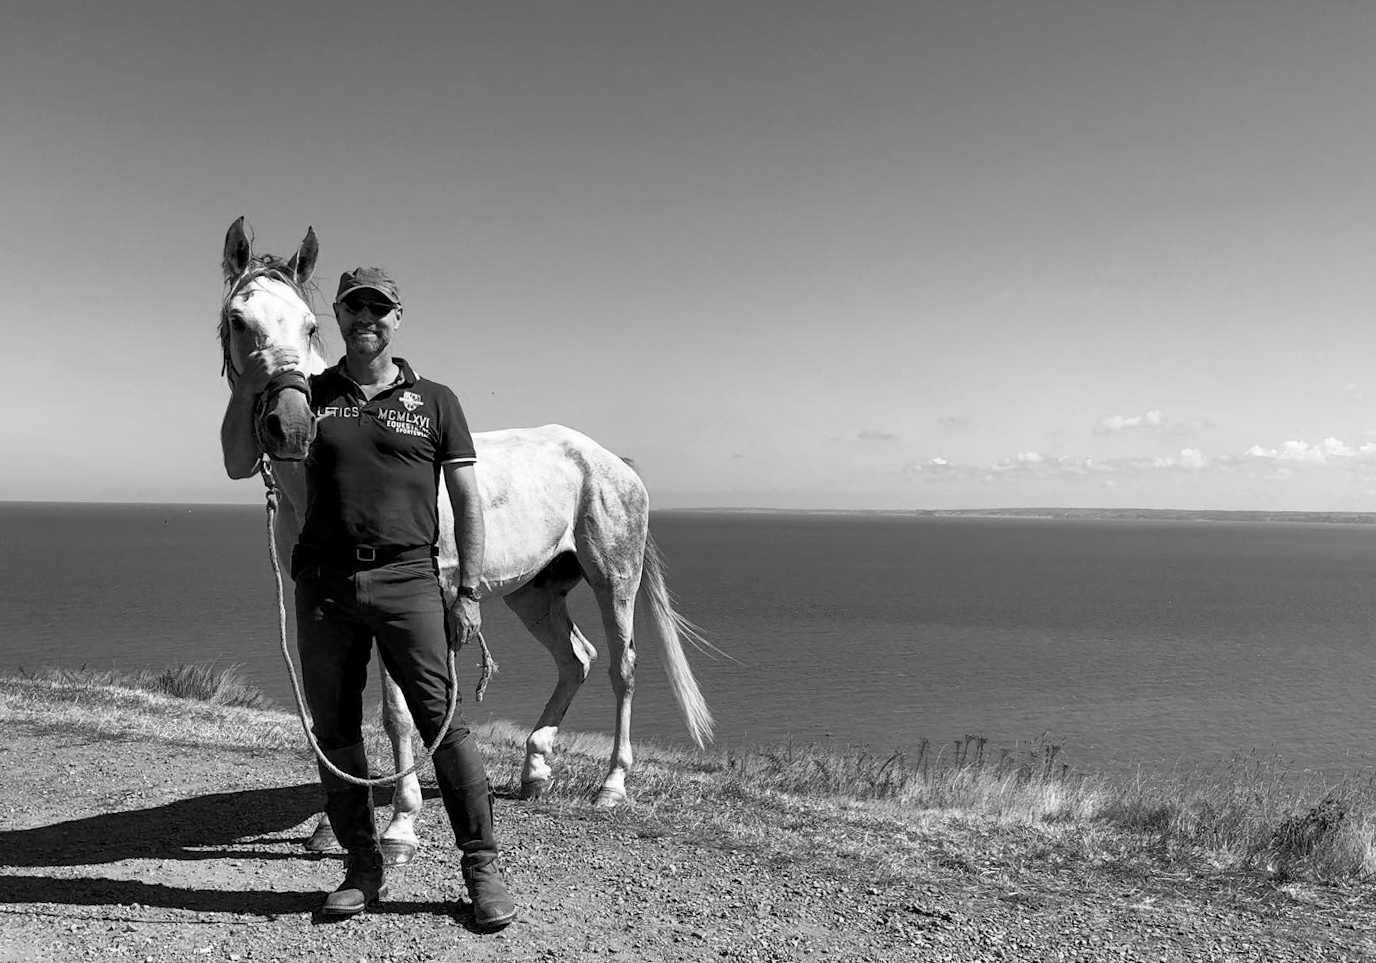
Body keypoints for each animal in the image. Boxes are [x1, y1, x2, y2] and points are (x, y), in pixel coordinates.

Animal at [220, 218, 715, 863]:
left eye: (308, 325)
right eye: (238, 320)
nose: (291, 426)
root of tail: (611, 461)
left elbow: (398, 714)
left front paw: (400, 825)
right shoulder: (318, 601)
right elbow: (334, 711)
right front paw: (331, 825)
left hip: (615, 579)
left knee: (622, 668)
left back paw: (611, 784)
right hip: (534, 592)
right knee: (576, 659)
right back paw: (535, 769)